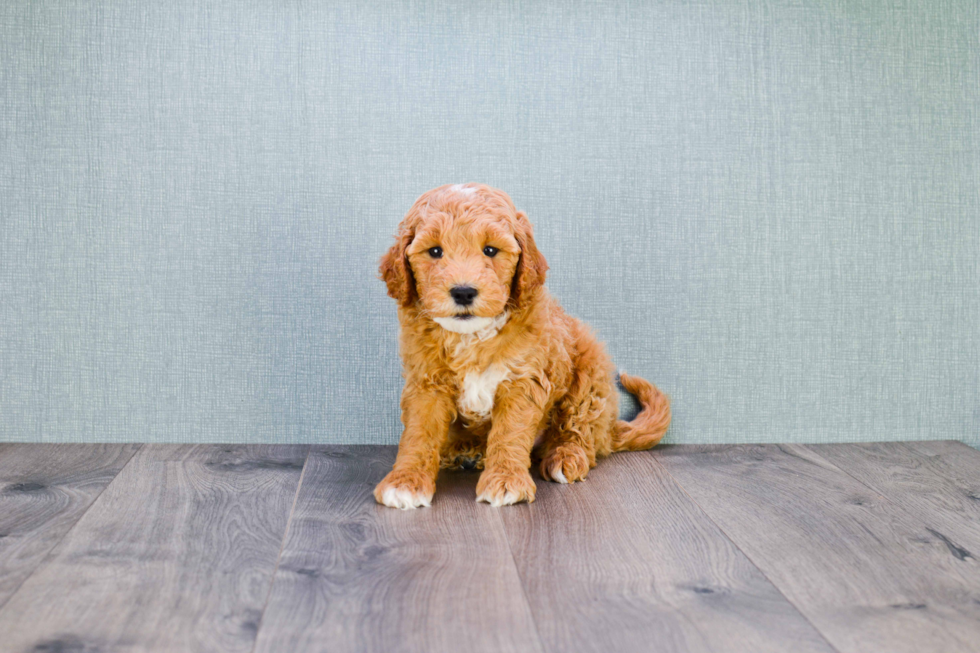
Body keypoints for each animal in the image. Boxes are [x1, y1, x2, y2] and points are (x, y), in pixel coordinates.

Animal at [372, 183, 668, 510]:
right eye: (435, 251)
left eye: (490, 250)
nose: (463, 292)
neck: (471, 337)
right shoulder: (426, 383)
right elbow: (419, 433)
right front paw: (406, 481)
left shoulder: (523, 380)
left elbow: (510, 432)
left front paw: (505, 481)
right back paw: (463, 449)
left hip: (590, 370)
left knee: (580, 429)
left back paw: (565, 456)